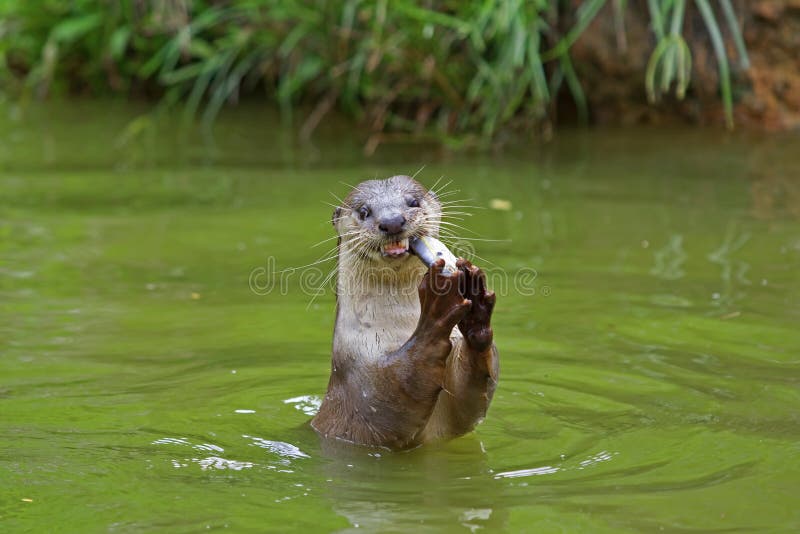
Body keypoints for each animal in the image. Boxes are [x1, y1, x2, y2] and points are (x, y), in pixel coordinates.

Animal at [310, 177, 496, 452]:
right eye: (364, 211)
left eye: (413, 202)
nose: (392, 221)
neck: (399, 331)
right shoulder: (362, 380)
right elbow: (397, 387)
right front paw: (436, 302)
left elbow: (471, 400)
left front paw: (477, 306)